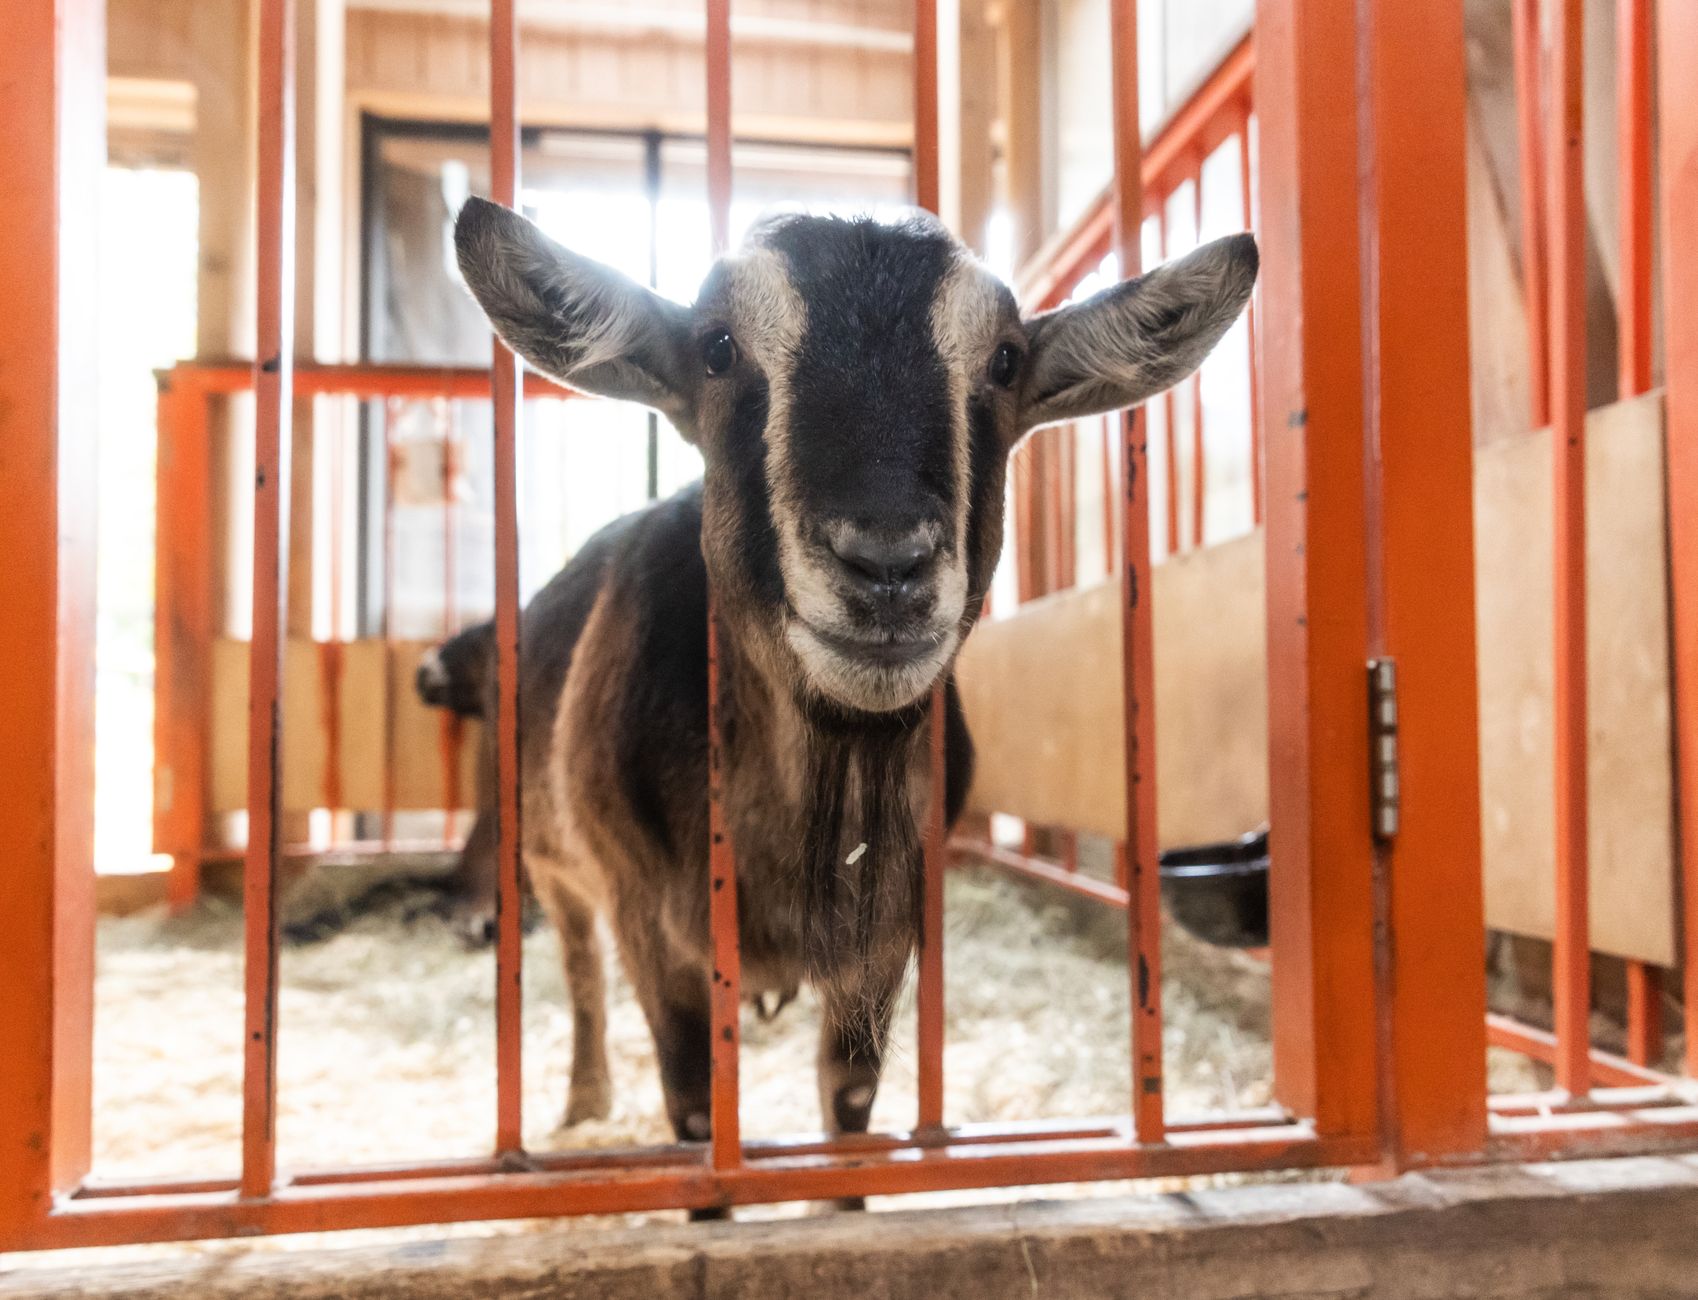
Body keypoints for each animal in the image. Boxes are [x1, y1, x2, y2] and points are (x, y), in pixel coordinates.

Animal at [445, 197, 1256, 1163]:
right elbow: (695, 1112)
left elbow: (851, 1105)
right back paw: (584, 1101)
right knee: (577, 965)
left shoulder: (882, 940)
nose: (887, 563)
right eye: (717, 347)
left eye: (1005, 358)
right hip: (549, 857)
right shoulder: (653, 931)